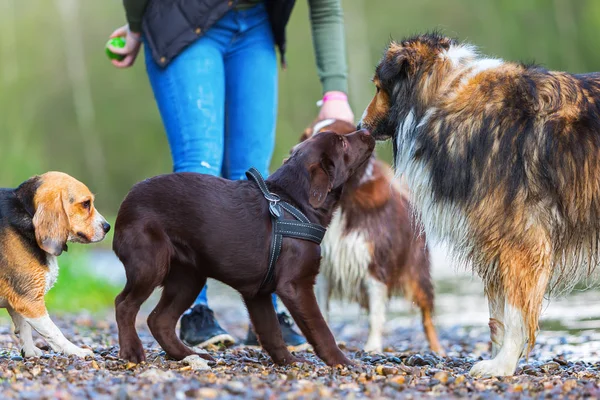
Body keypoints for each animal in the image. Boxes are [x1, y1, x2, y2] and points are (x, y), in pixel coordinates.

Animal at [0, 171, 110, 356]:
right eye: (86, 204)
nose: (108, 227)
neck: (28, 213)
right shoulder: (30, 301)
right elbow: (54, 332)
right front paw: (76, 351)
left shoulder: (21, 299)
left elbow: (24, 328)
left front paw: (30, 352)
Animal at [113, 129, 376, 366]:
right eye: (342, 142)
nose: (366, 130)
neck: (295, 203)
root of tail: (125, 204)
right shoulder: (295, 285)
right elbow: (321, 329)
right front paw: (343, 362)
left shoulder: (258, 293)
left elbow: (272, 333)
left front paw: (288, 361)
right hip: (151, 264)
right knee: (124, 305)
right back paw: (132, 352)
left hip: (188, 277)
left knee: (159, 320)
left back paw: (189, 355)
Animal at [298, 119, 440, 354]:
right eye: (306, 136)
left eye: (332, 139)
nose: (295, 153)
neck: (343, 199)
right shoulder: (326, 267)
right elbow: (321, 309)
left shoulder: (376, 264)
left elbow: (375, 313)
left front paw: (372, 346)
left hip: (417, 272)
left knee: (427, 315)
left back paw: (438, 350)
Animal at [358, 32, 600, 376]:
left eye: (379, 87)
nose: (360, 126)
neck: (443, 96)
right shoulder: (493, 243)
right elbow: (496, 317)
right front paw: (498, 358)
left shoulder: (521, 241)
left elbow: (514, 313)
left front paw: (503, 365)